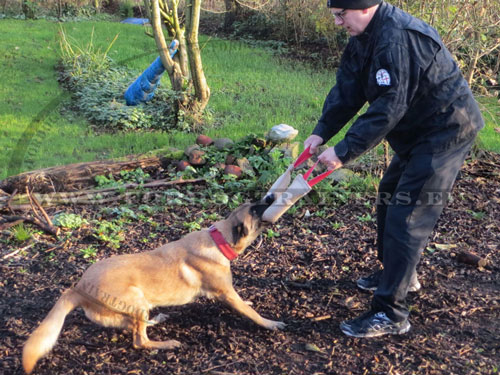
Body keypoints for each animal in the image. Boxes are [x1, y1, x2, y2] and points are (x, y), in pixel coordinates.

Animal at [23, 195, 284, 374]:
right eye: (256, 209)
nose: (270, 197)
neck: (219, 238)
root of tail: (79, 288)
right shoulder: (226, 293)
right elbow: (250, 312)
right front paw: (270, 323)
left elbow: (244, 303)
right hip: (136, 298)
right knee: (140, 341)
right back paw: (166, 343)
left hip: (136, 307)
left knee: (135, 326)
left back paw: (157, 319)